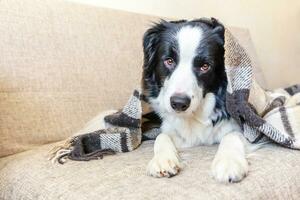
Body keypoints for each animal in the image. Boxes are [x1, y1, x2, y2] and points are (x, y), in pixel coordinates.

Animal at [142, 18, 248, 183]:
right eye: (169, 61)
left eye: (205, 66)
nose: (179, 103)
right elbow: (162, 135)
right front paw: (163, 159)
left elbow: (232, 135)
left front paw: (229, 162)